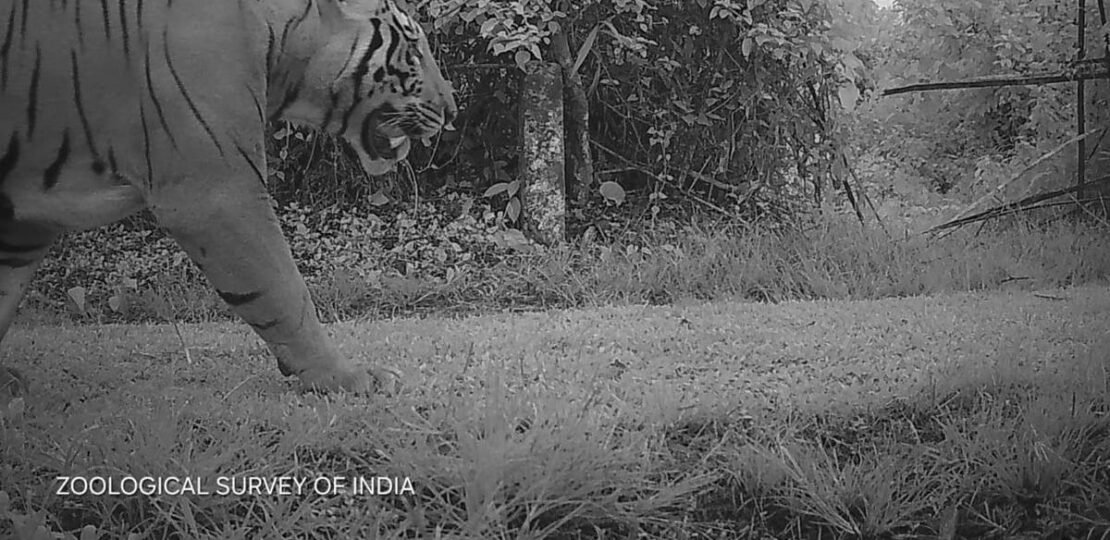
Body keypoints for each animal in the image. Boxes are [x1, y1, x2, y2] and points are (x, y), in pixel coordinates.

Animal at [0, 0, 457, 399]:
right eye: (413, 47)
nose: (452, 110)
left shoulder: (25, 227)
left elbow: (4, 294)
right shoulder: (217, 193)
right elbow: (285, 291)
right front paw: (346, 377)